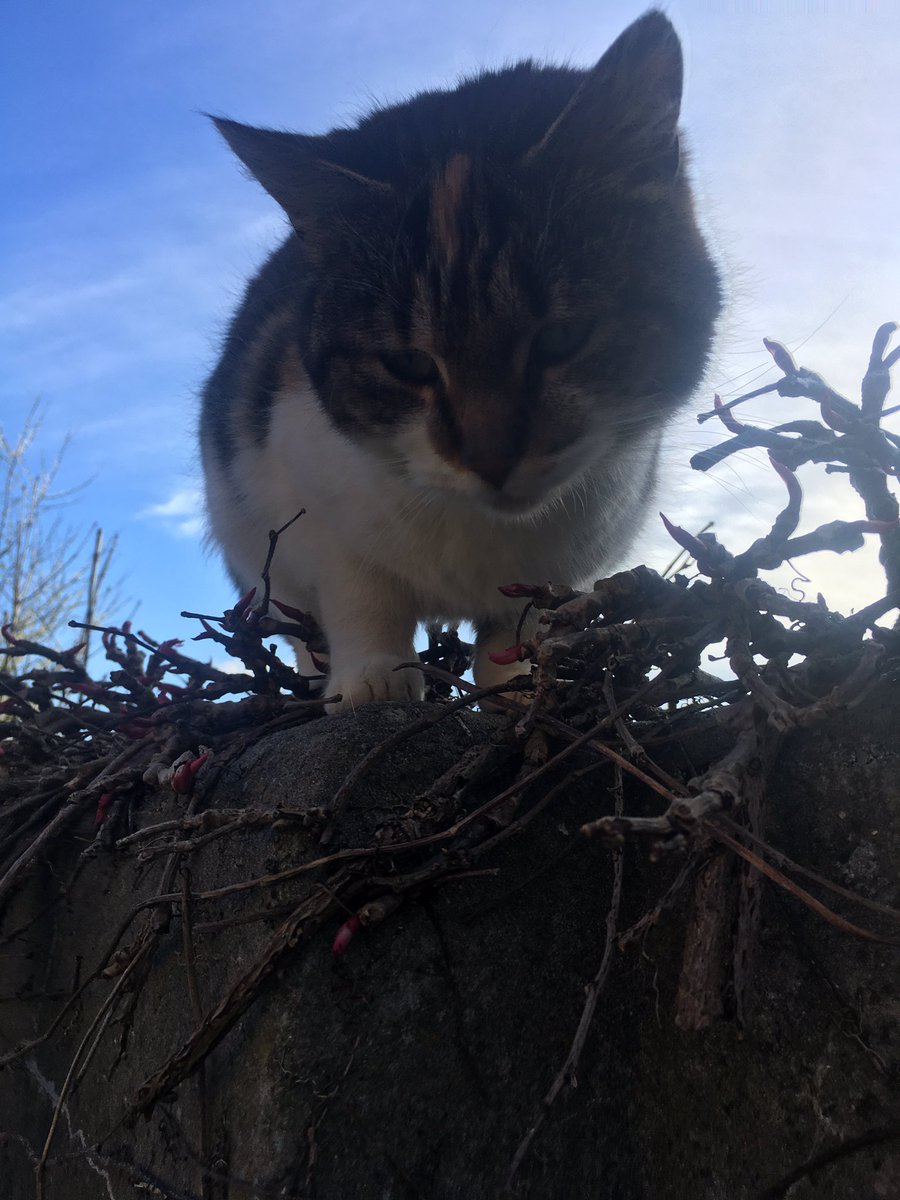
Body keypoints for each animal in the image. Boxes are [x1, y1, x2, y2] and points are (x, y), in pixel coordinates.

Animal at [200, 9, 724, 705]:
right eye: (409, 364)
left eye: (562, 337)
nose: (491, 459)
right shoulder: (308, 498)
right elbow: (362, 594)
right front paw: (372, 680)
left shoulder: (545, 577)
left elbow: (513, 630)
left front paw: (516, 689)